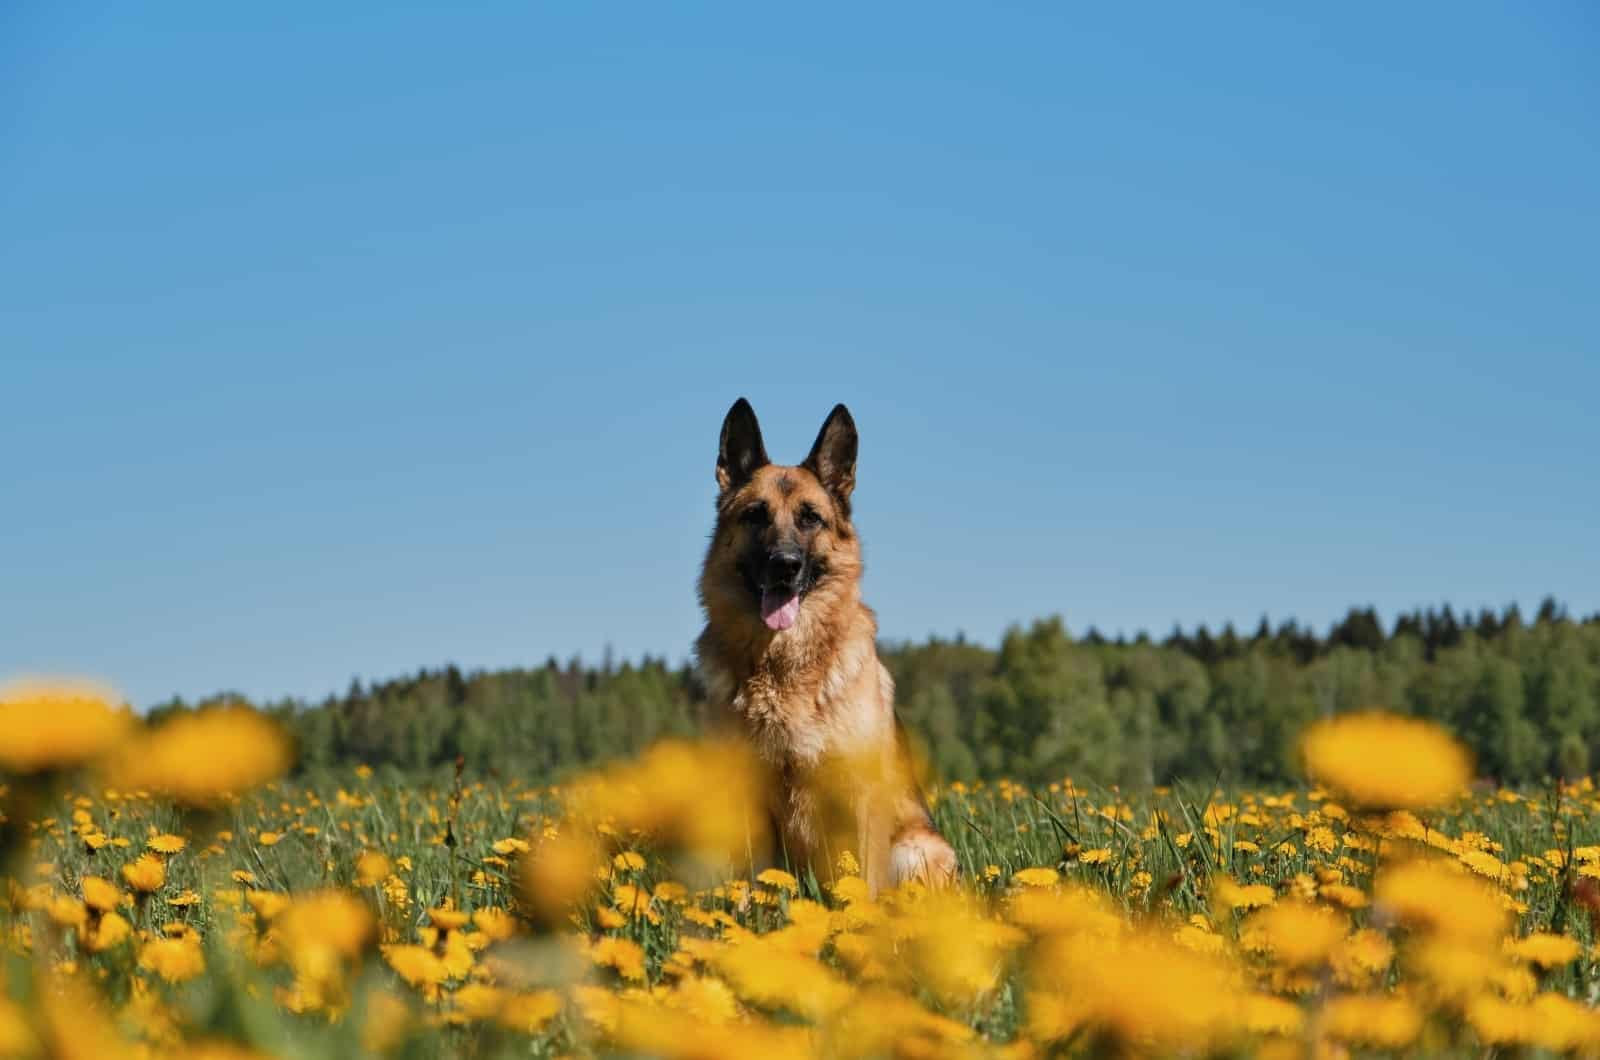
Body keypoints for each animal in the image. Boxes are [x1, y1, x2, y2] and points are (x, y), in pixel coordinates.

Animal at [694, 400, 953, 896]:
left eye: (810, 518)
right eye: (756, 514)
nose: (785, 566)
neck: (782, 666)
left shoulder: (860, 798)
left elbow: (865, 882)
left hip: (915, 850)